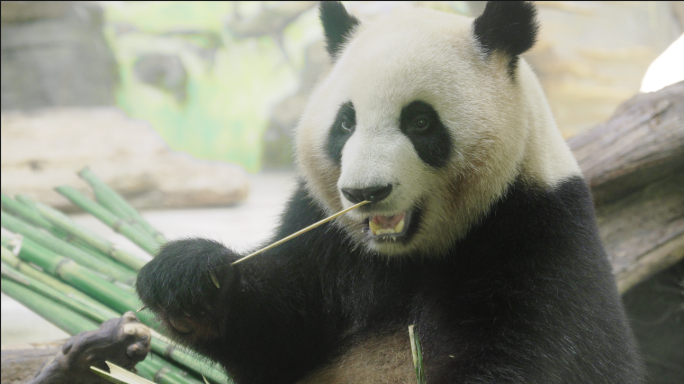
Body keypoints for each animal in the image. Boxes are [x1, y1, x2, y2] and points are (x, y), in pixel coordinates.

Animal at [136, 1, 644, 382]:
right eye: (345, 122)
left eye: (419, 121)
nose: (365, 190)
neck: (404, 257)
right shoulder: (324, 237)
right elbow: (275, 334)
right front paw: (185, 277)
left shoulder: (538, 236)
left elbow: (539, 356)